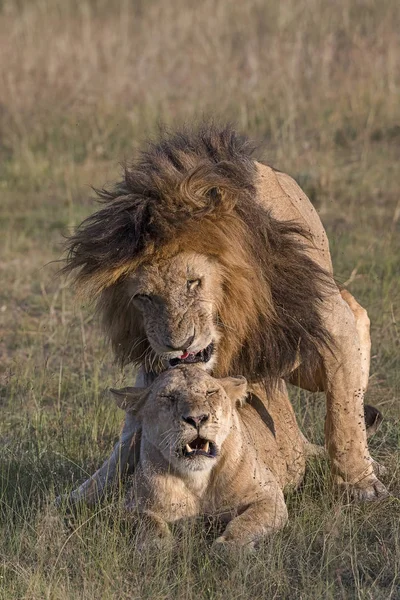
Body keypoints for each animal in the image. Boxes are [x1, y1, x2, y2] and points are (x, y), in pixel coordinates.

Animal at [62, 122, 388, 502]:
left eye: (193, 282)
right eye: (143, 297)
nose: (177, 345)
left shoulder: (319, 325)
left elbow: (344, 414)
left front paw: (360, 484)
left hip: (298, 353)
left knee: (354, 322)